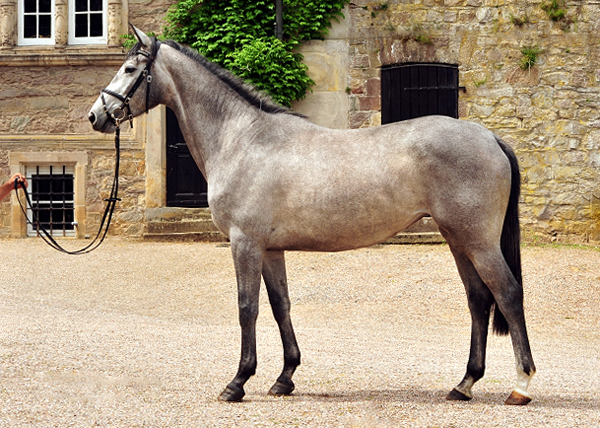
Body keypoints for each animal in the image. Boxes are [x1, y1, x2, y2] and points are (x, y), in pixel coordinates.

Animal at [88, 27, 536, 404]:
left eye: (130, 69)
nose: (96, 115)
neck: (242, 139)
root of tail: (491, 137)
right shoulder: (270, 249)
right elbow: (280, 305)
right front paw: (284, 378)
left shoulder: (244, 242)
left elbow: (247, 307)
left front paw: (237, 382)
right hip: (459, 240)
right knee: (478, 300)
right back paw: (464, 384)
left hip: (478, 241)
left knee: (508, 294)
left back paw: (521, 386)